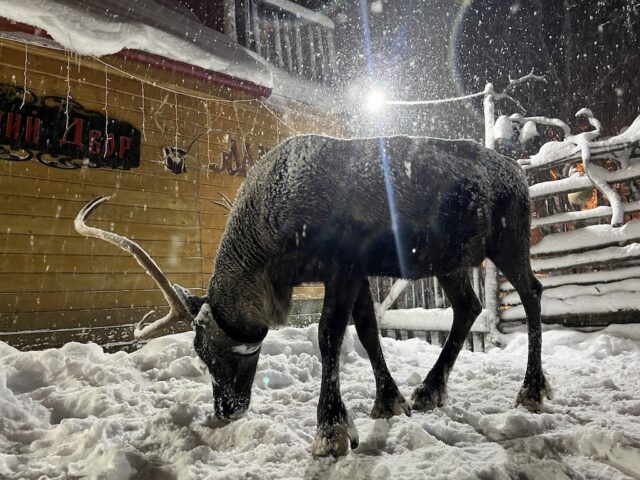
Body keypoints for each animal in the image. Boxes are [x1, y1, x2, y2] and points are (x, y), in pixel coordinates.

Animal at [74, 134, 551, 457]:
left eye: (216, 351)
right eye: (200, 354)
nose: (226, 409)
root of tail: (520, 174)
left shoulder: (343, 264)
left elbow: (329, 335)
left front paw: (331, 429)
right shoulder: (358, 272)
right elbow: (367, 332)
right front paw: (388, 400)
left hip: (508, 239)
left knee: (532, 290)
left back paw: (531, 388)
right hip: (449, 259)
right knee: (468, 306)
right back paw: (429, 390)